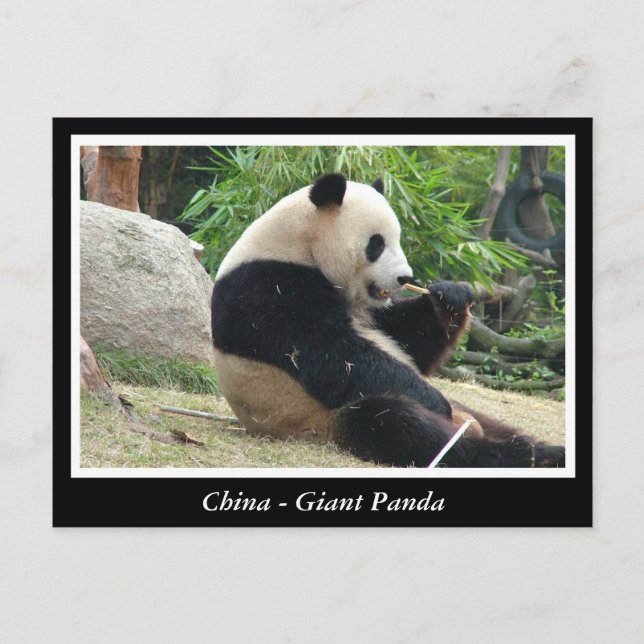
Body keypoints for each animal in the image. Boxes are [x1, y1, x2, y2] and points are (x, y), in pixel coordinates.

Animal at [211, 173, 565, 468]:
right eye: (376, 243)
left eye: (397, 239)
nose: (405, 277)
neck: (299, 243)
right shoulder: (269, 291)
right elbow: (334, 355)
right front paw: (433, 401)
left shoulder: (369, 309)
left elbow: (408, 342)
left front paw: (450, 297)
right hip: (321, 420)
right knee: (397, 423)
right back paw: (499, 451)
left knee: (489, 422)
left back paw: (543, 451)